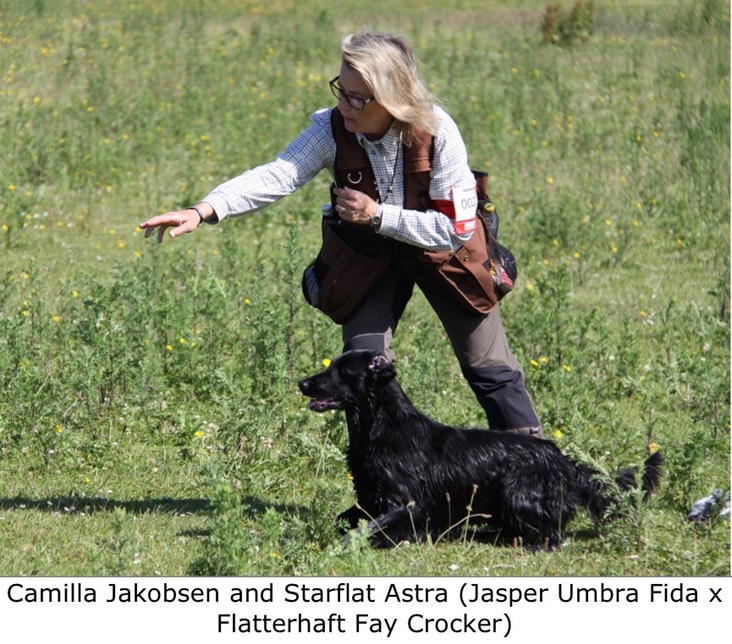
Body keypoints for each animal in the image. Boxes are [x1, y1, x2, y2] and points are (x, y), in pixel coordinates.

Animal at [298, 348, 664, 548]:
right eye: (331, 365)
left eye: (341, 371)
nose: (302, 383)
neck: (381, 426)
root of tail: (562, 460)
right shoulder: (371, 496)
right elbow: (344, 519)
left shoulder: (405, 502)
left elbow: (364, 529)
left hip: (518, 498)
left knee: (553, 535)